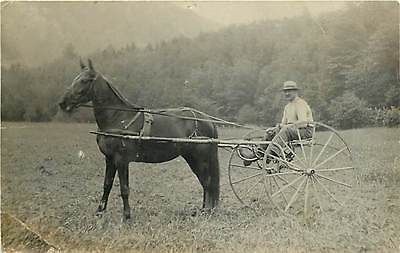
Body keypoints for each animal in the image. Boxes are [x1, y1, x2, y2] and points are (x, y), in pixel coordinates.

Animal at [59, 59, 220, 221]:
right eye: (76, 79)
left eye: (84, 80)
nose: (63, 103)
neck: (118, 118)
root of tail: (207, 120)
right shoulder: (109, 159)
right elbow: (107, 185)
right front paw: (99, 212)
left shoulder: (121, 160)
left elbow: (124, 189)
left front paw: (127, 216)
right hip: (192, 158)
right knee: (205, 182)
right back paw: (204, 210)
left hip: (200, 158)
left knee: (207, 183)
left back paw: (207, 211)